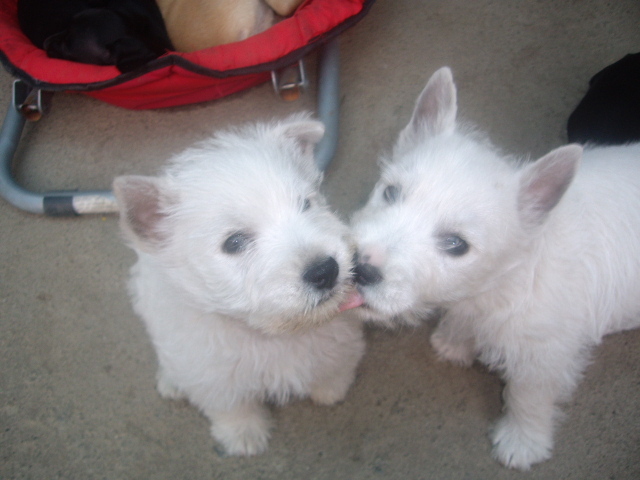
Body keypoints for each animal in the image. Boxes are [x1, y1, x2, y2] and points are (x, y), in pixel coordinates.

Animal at [114, 114, 364, 456]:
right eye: (234, 243)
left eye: (306, 204)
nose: (325, 270)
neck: (272, 334)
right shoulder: (215, 377)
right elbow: (231, 406)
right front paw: (243, 436)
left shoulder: (341, 336)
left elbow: (335, 361)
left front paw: (330, 389)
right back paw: (171, 382)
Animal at [348, 66, 640, 468]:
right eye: (391, 192)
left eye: (456, 244)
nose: (359, 268)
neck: (512, 277)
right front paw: (454, 342)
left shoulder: (544, 355)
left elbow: (527, 396)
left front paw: (523, 443)